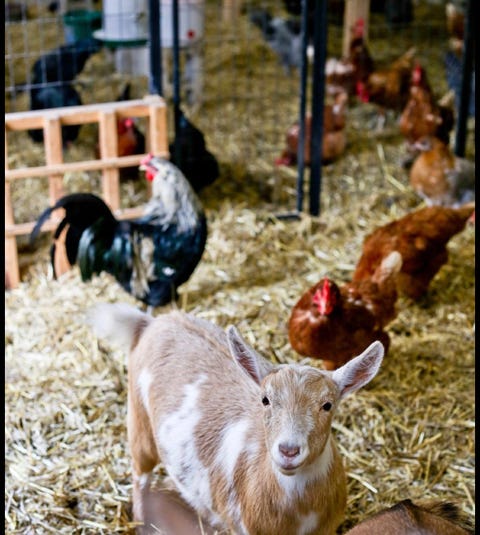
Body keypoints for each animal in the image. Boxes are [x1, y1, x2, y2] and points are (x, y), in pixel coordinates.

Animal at [88, 303, 385, 535]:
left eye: (327, 405)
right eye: (265, 399)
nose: (288, 450)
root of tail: (152, 323)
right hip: (139, 420)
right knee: (140, 474)